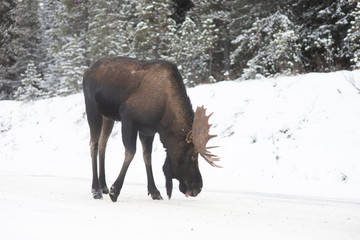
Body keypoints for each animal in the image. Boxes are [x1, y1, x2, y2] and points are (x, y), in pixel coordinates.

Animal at [83, 56, 219, 201]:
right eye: (193, 155)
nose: (197, 187)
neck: (164, 116)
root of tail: (86, 71)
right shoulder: (128, 118)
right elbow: (130, 152)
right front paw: (115, 191)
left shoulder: (148, 131)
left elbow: (147, 156)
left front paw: (154, 191)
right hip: (92, 108)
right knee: (93, 143)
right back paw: (96, 189)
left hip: (108, 117)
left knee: (103, 144)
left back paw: (103, 186)